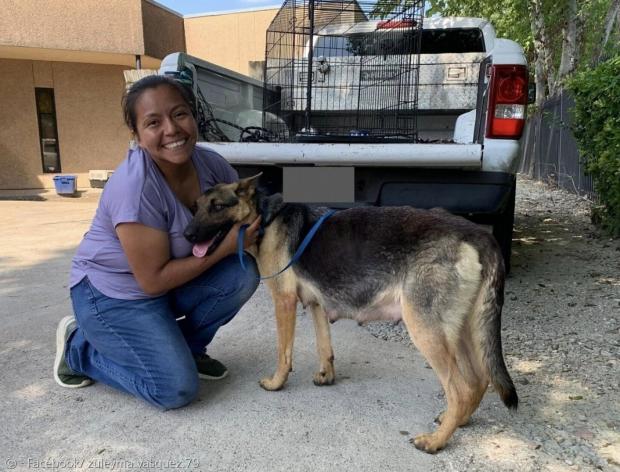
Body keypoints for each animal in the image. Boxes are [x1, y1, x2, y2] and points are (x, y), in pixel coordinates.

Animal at [184, 174, 520, 454]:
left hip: (427, 330)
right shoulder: (316, 305)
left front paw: (276, 383)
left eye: (217, 207)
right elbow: (324, 347)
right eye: (197, 206)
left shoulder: (283, 302)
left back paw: (436, 441)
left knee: (461, 388)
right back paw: (457, 421)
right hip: (461, 331)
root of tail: (476, 233)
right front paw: (326, 376)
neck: (266, 218)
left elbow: (283, 352)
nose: (187, 235)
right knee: (478, 381)